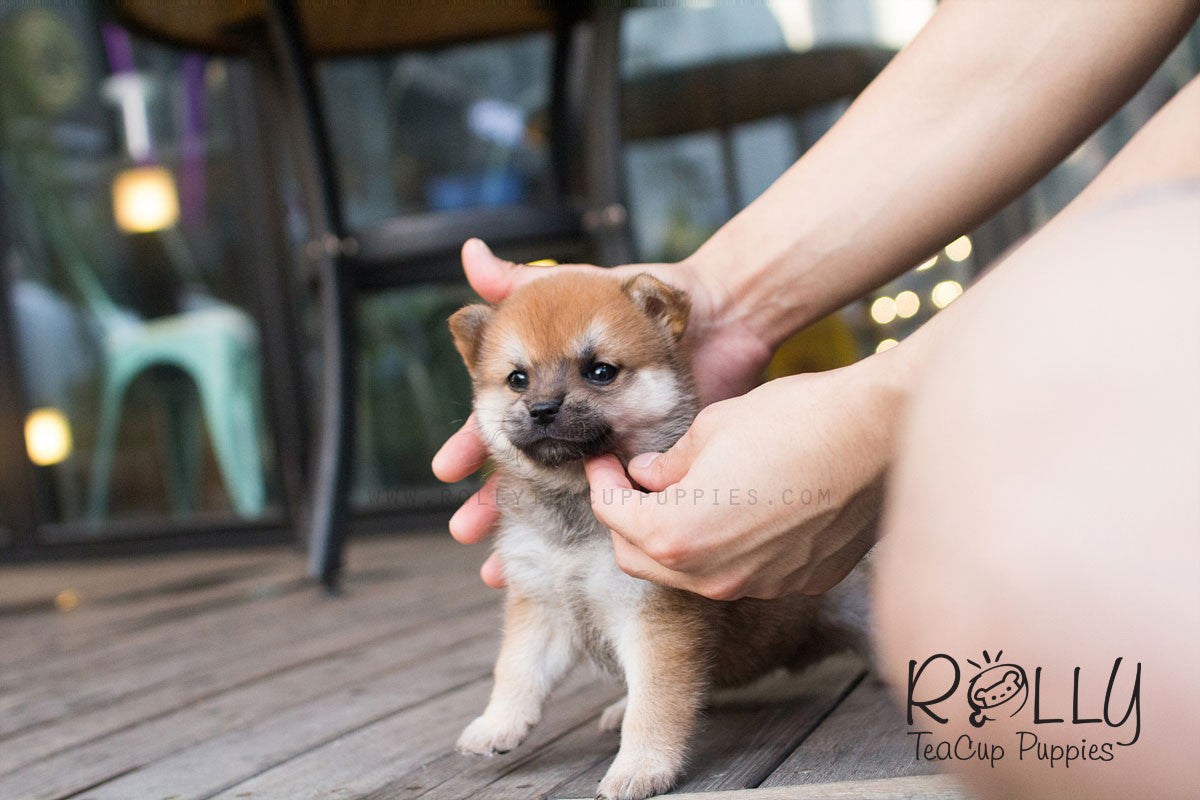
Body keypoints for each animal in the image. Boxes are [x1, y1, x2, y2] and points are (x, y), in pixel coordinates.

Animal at [451, 272, 864, 796]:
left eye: (600, 371)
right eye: (517, 379)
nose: (542, 408)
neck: (575, 508)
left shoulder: (656, 618)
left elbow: (655, 704)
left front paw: (640, 767)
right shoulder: (541, 603)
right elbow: (517, 669)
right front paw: (496, 723)